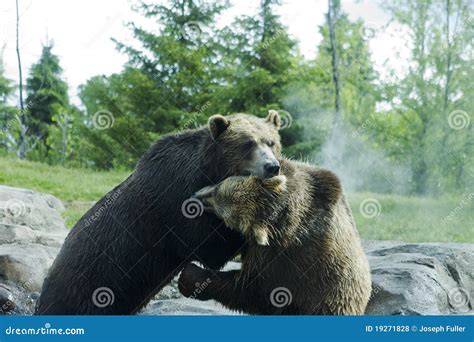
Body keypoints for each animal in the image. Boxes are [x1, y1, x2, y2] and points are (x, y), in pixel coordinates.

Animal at [36, 112, 286, 316]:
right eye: (248, 144)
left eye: (271, 142)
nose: (272, 166)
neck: (209, 170)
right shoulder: (176, 200)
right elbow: (209, 247)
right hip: (88, 285)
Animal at [180, 158, 372, 316]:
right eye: (218, 187)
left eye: (224, 215)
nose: (197, 195)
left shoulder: (284, 257)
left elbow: (252, 289)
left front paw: (189, 276)